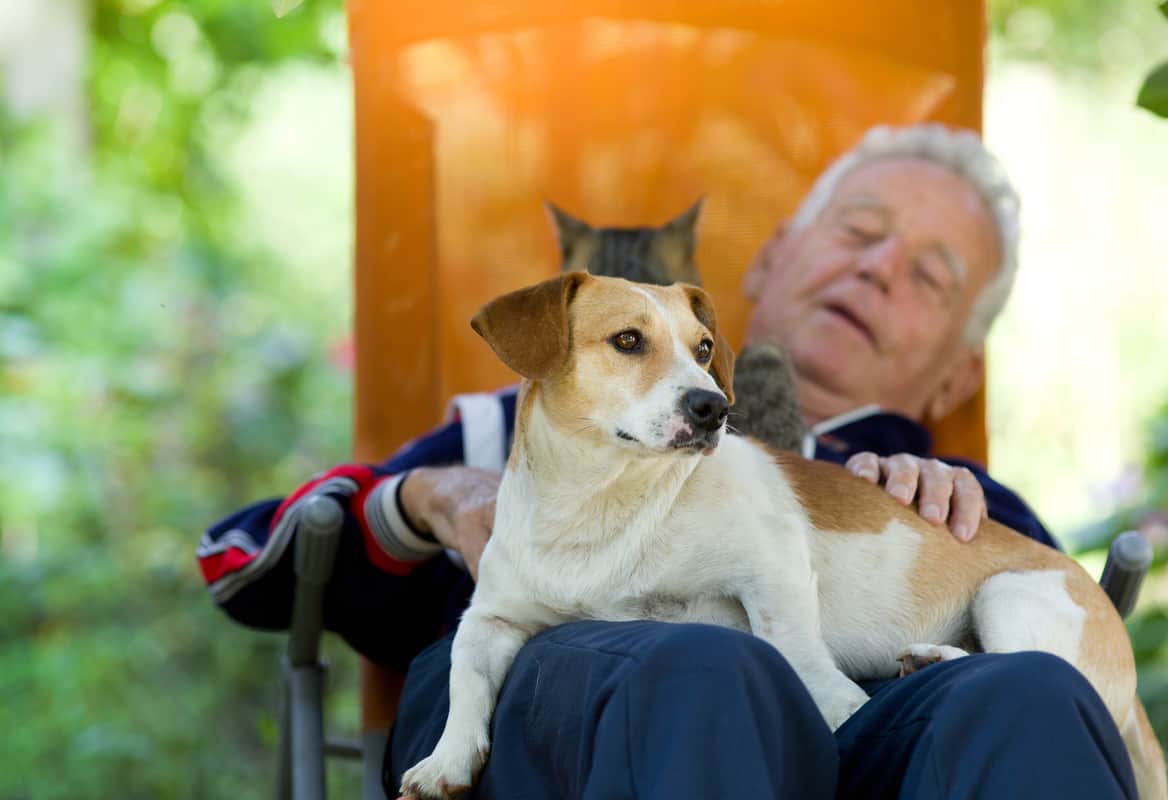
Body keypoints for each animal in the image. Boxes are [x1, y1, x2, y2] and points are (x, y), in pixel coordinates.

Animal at [397, 273, 1163, 798]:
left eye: (705, 348)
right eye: (627, 341)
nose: (712, 406)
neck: (604, 505)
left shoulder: (774, 565)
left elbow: (793, 647)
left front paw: (840, 710)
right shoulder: (491, 618)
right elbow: (464, 677)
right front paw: (444, 761)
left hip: (1008, 595)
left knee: (1038, 666)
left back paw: (935, 659)